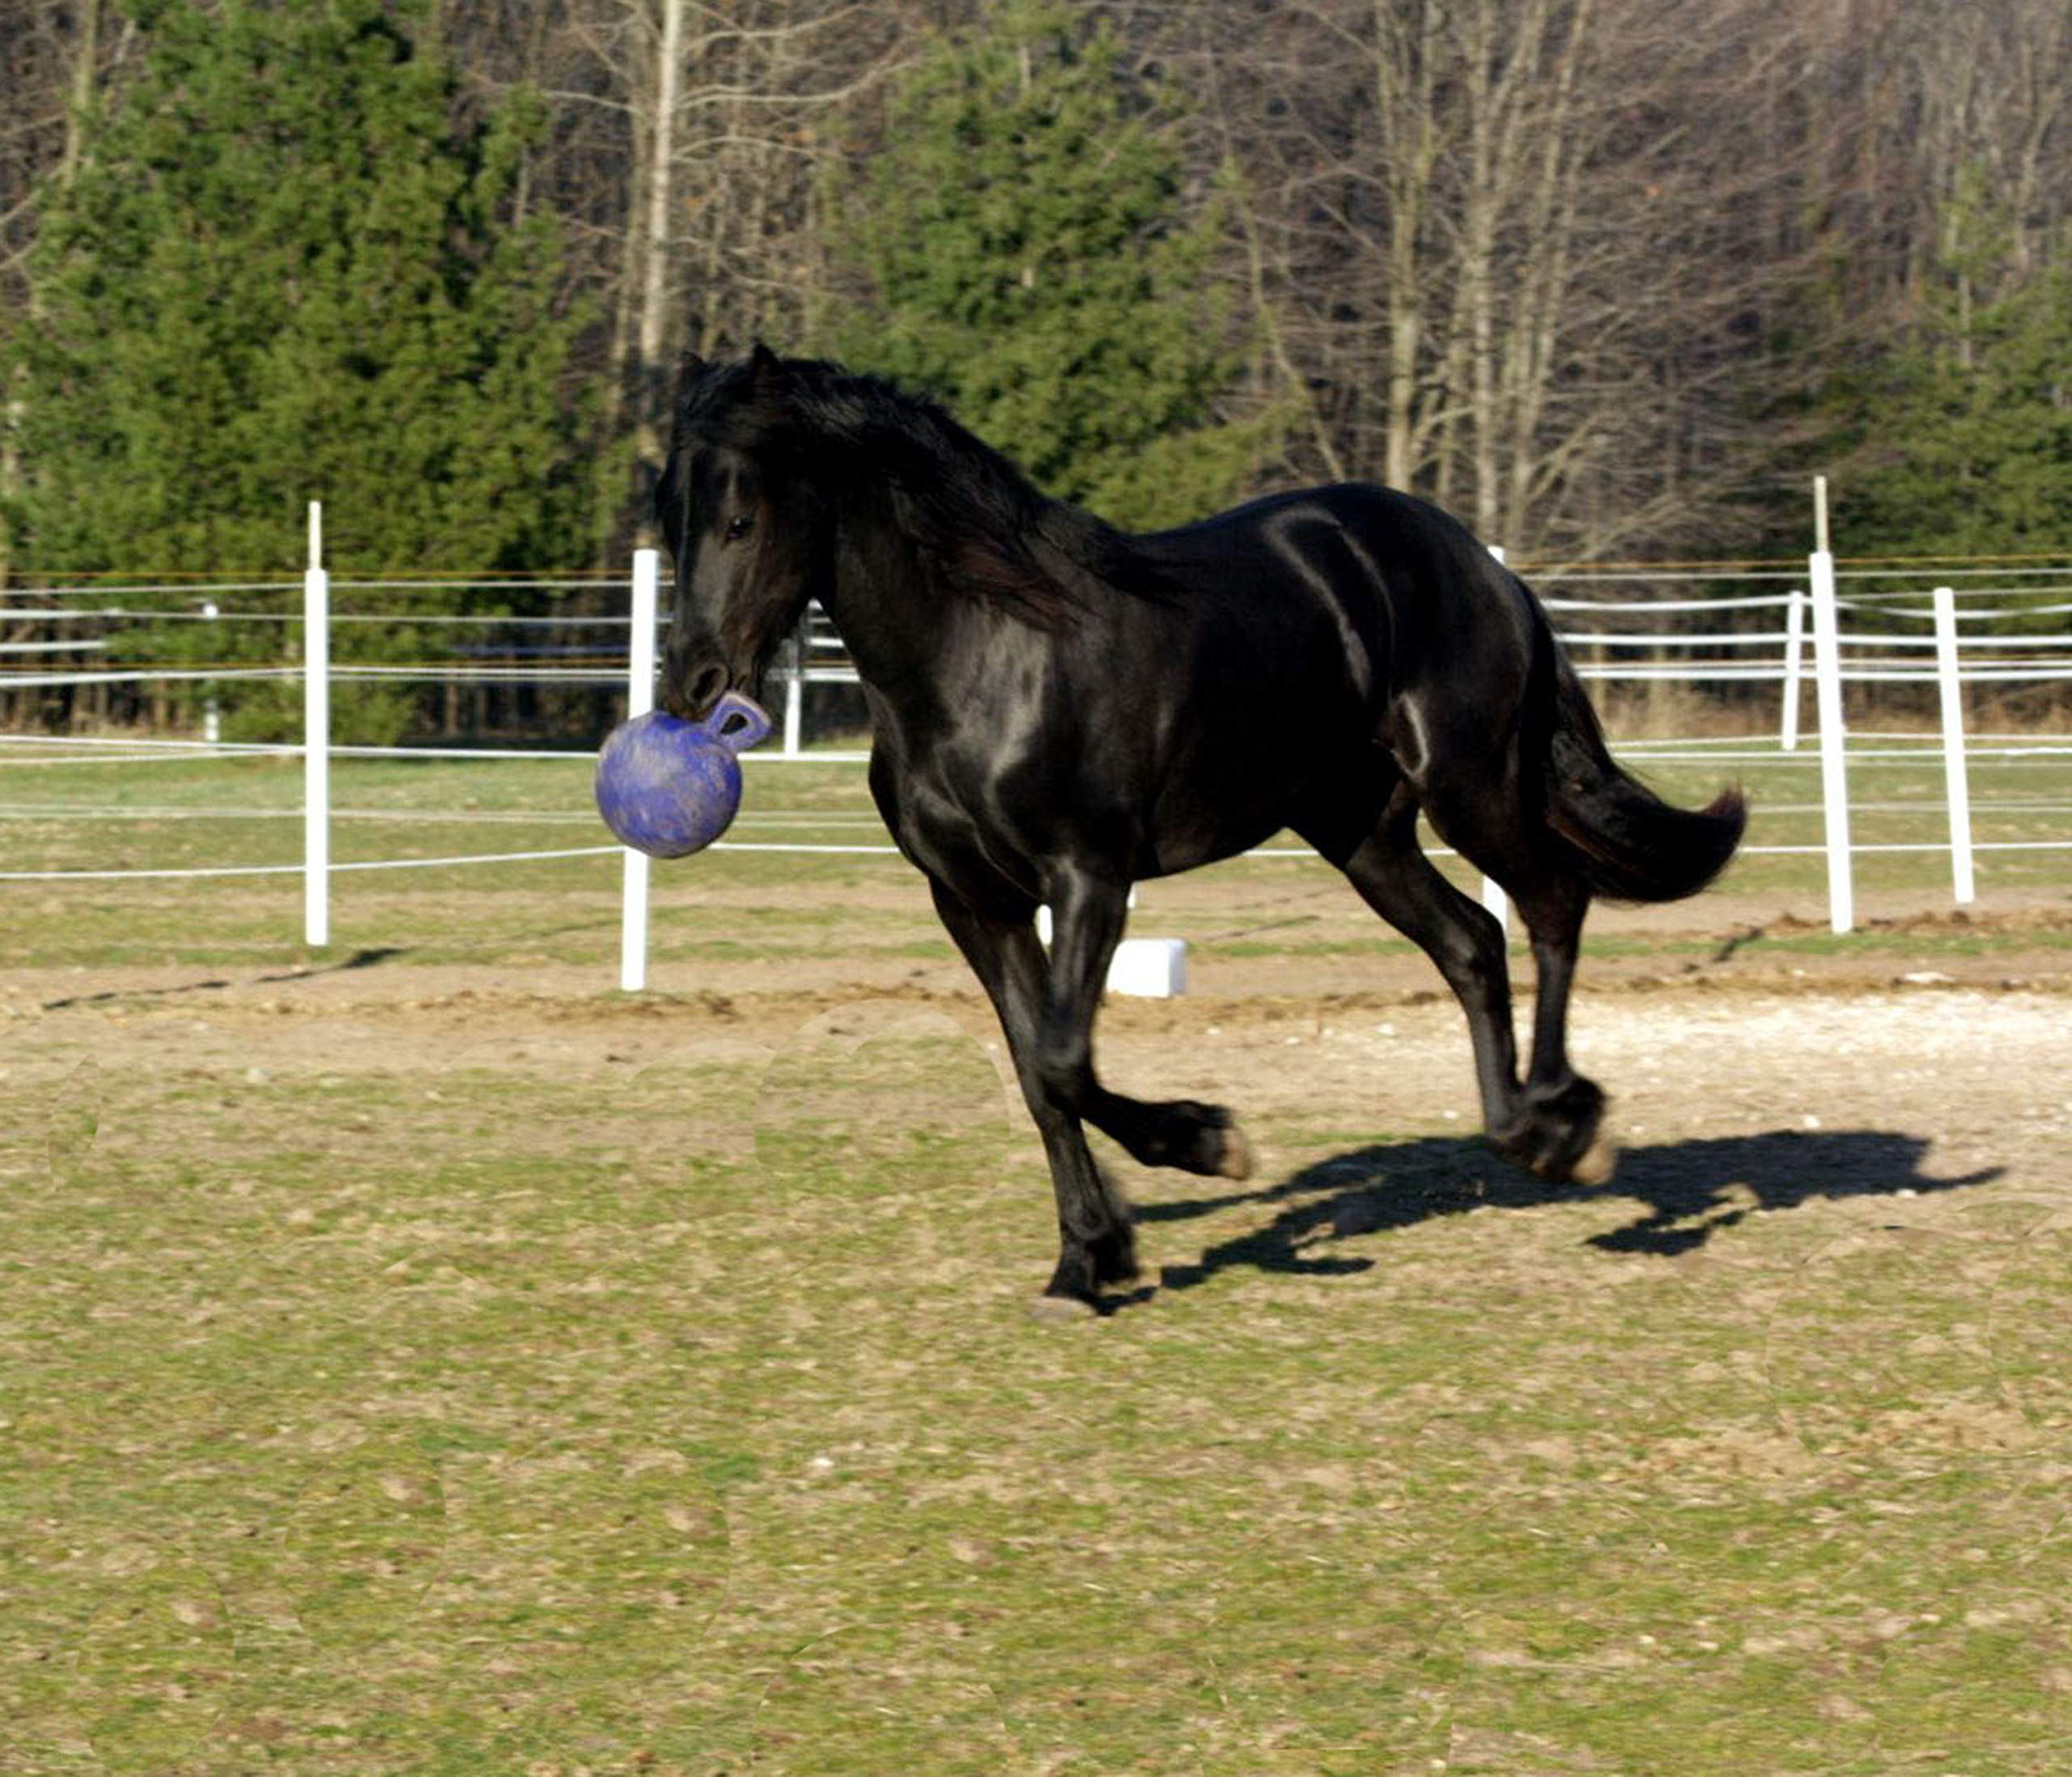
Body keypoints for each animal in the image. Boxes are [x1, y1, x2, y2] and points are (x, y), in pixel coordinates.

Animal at [654, 345, 1746, 1310]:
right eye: (670, 519)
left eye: (742, 517)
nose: (692, 686)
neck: (982, 653)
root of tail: (1486, 569)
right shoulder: (973, 903)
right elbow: (1037, 1076)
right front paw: (1088, 1265)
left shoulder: (1088, 876)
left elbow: (1064, 1061)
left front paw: (1209, 1145)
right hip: (1360, 832)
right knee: (1473, 941)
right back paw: (1518, 1126)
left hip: (1467, 783)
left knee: (1551, 901)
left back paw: (1569, 1132)